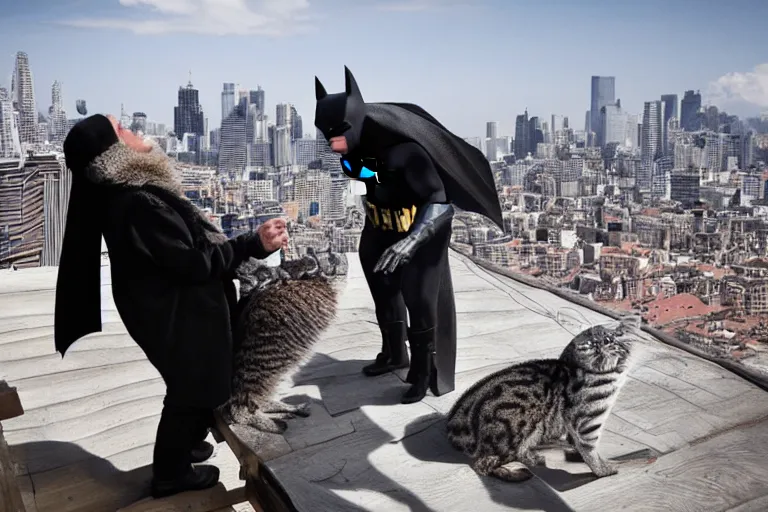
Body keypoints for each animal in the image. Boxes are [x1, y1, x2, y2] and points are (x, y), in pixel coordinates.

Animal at [444, 318, 636, 482]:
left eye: (610, 338)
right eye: (591, 344)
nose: (604, 342)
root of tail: (455, 430)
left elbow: (575, 443)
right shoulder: (585, 420)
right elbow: (589, 450)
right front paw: (604, 470)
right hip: (522, 419)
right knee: (483, 465)